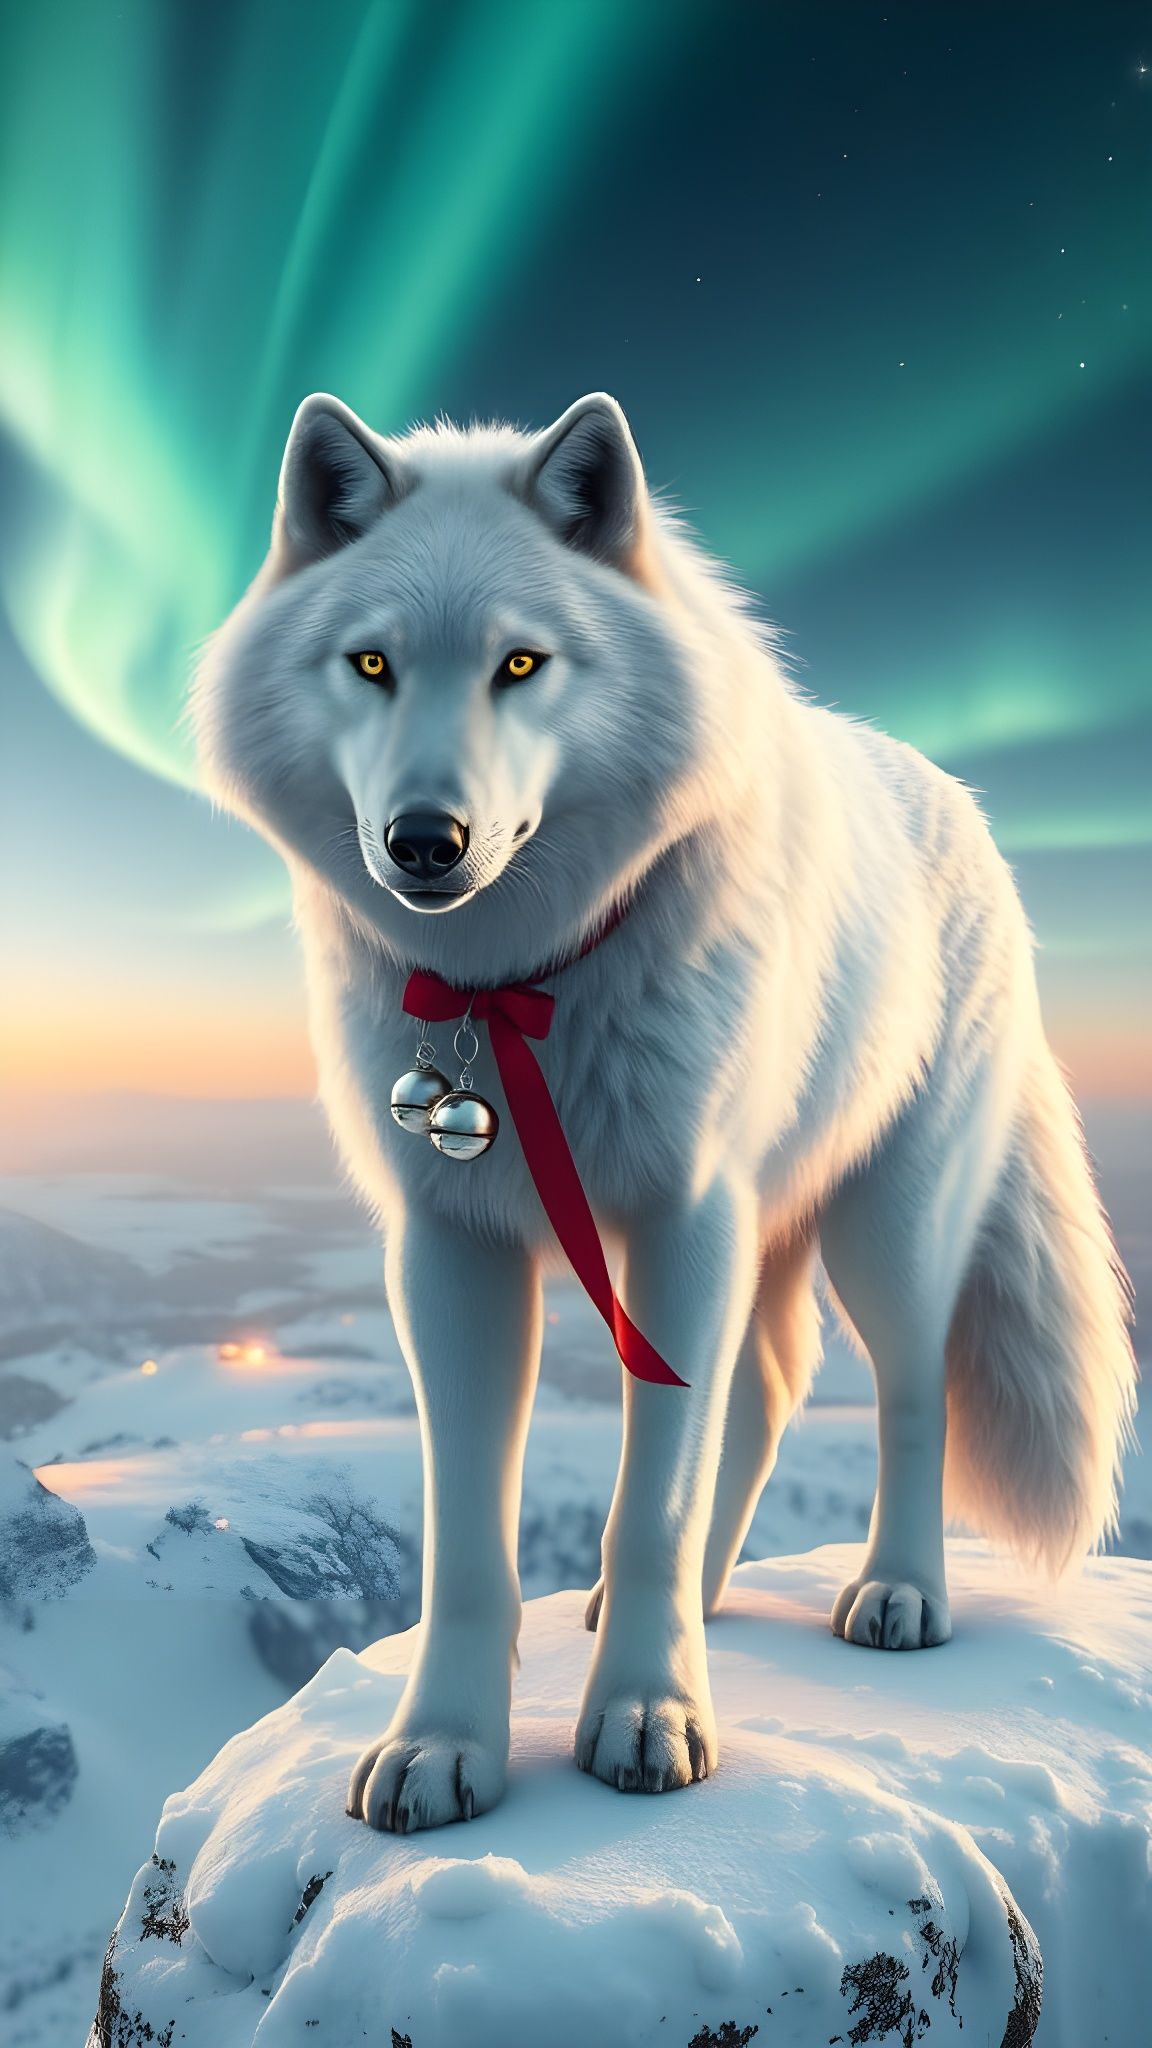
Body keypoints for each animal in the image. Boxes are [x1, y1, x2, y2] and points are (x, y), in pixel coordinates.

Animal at [192, 389, 1136, 1833]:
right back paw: (708, 1597)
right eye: (372, 665)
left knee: (906, 1395)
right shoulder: (451, 1248)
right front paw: (442, 1746)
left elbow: (652, 1503)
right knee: (772, 1385)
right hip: (769, 1238)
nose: (424, 841)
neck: (519, 985)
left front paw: (646, 1718)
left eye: (521, 665)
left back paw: (898, 1591)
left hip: (886, 1233)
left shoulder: (686, 1216)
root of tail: (954, 794)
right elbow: (469, 1536)